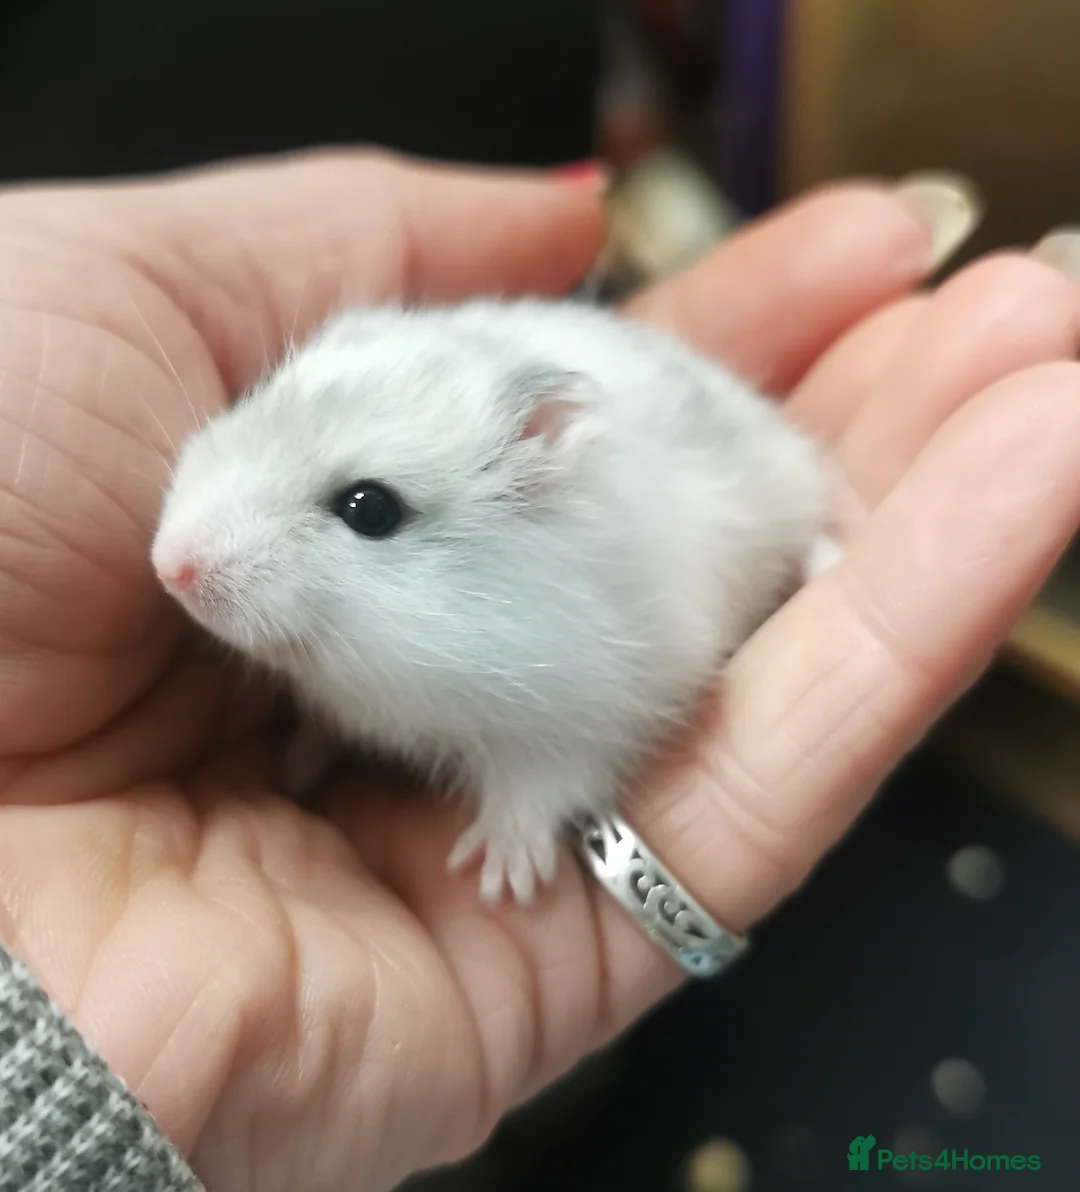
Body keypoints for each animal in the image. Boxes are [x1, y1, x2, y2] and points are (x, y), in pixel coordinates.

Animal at [151, 298, 835, 904]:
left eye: (370, 510)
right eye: (258, 397)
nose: (167, 566)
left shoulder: (597, 714)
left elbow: (540, 786)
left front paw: (502, 879)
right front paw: (292, 768)